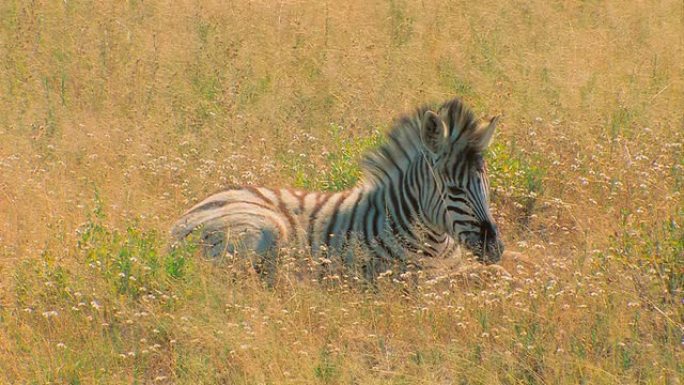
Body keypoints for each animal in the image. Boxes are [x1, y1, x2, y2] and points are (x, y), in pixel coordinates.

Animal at [171, 98, 502, 280]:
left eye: (486, 185)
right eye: (455, 190)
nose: (495, 249)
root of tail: (179, 223)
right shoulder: (412, 278)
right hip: (261, 228)